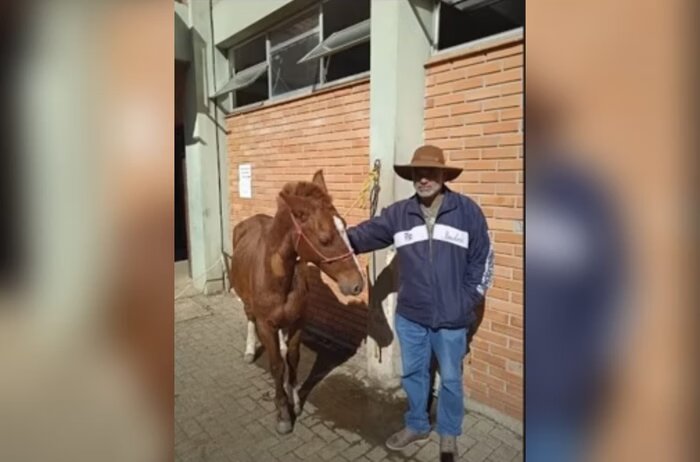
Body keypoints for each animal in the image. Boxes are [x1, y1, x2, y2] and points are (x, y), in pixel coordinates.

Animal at [230, 169, 364, 434]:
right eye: (324, 238)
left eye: (345, 226)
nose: (357, 284)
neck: (277, 279)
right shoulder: (265, 325)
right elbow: (276, 366)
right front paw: (283, 414)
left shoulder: (299, 321)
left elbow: (292, 360)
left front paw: (295, 401)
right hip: (248, 303)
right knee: (249, 317)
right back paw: (249, 351)